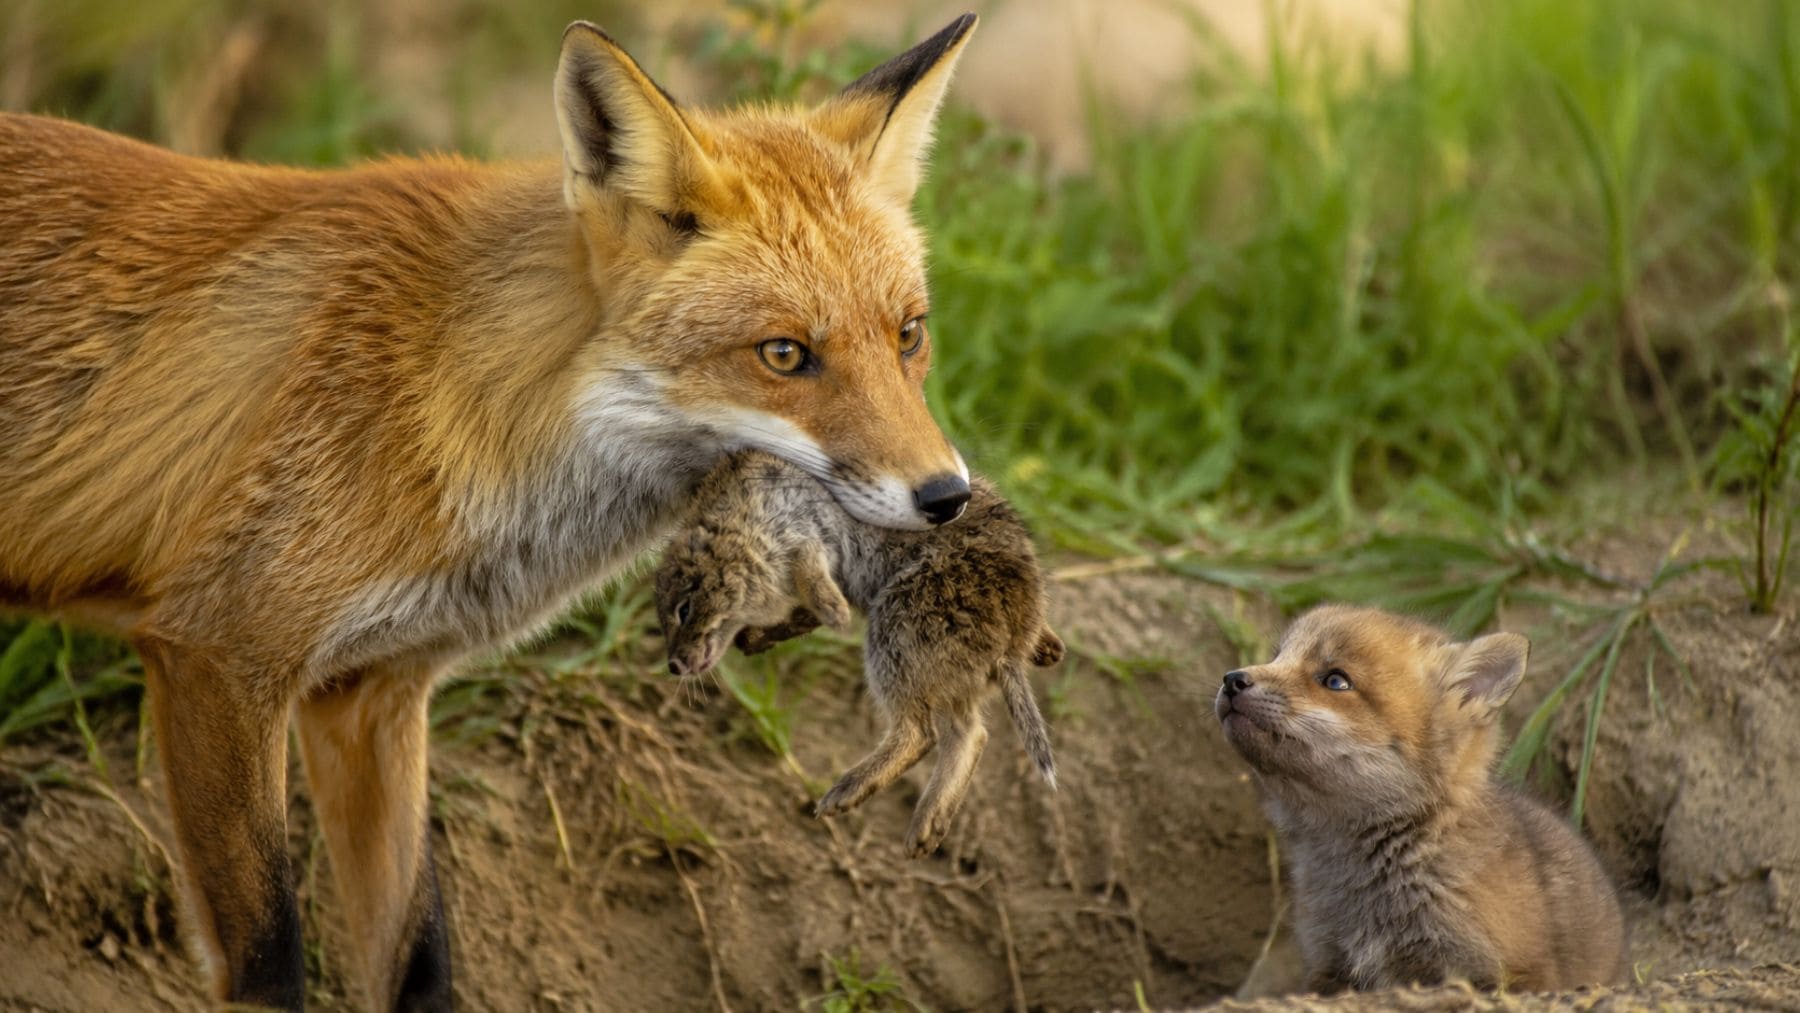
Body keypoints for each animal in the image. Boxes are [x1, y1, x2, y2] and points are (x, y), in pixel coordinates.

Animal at [0, 14, 981, 1011]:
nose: (948, 496)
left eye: (909, 334)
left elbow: (418, 954)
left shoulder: (373, 692)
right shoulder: (219, 651)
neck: (453, 394)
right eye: (783, 354)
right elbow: (272, 956)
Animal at [653, 450, 1062, 856]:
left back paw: (843, 795)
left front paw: (832, 612)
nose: (675, 665)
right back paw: (925, 831)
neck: (730, 529)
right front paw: (760, 637)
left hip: (900, 631)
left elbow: (810, 567)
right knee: (970, 733)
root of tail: (1012, 645)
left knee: (921, 733)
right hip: (941, 663)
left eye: (684, 609)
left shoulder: (797, 526)